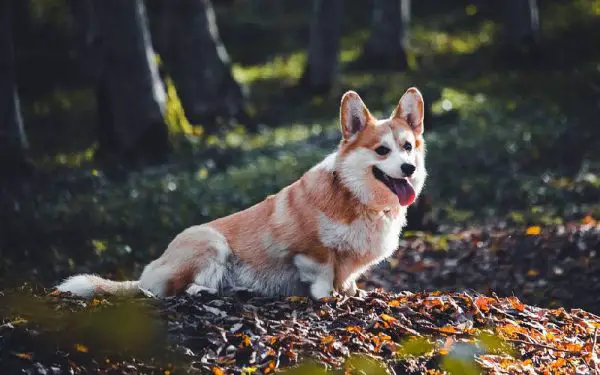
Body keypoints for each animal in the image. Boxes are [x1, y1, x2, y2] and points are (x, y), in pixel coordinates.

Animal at [57, 87, 426, 300]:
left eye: (407, 146)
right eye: (382, 150)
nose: (408, 168)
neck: (357, 196)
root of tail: (146, 272)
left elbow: (348, 278)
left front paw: (352, 291)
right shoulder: (311, 250)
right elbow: (322, 275)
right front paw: (328, 296)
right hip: (211, 243)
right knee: (166, 290)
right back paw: (198, 291)